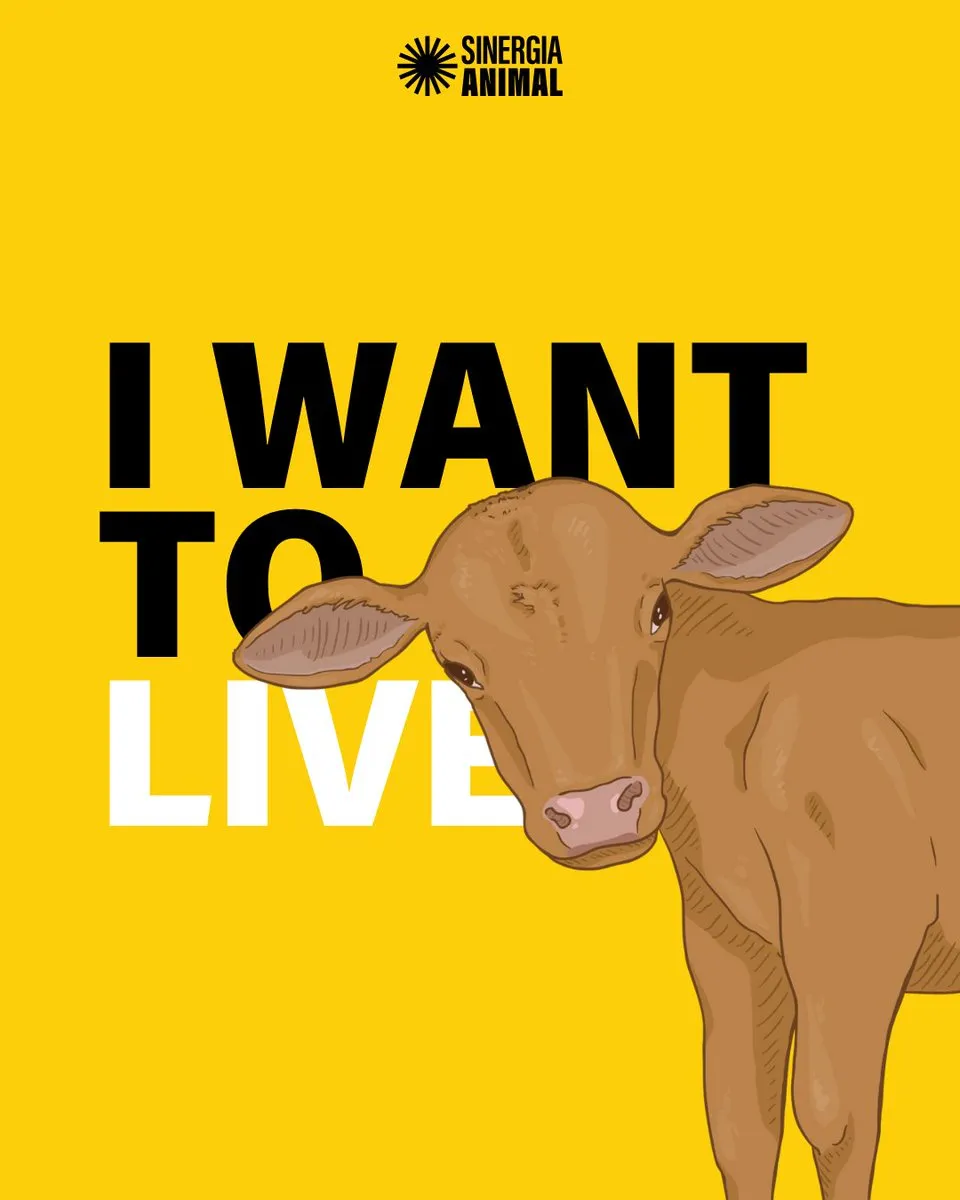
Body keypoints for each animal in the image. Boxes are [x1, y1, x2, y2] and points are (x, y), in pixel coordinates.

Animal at [232, 478, 960, 1200]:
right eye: (460, 669)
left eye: (658, 612)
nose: (597, 811)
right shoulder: (730, 939)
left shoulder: (862, 925)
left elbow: (833, 1118)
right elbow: (741, 1126)